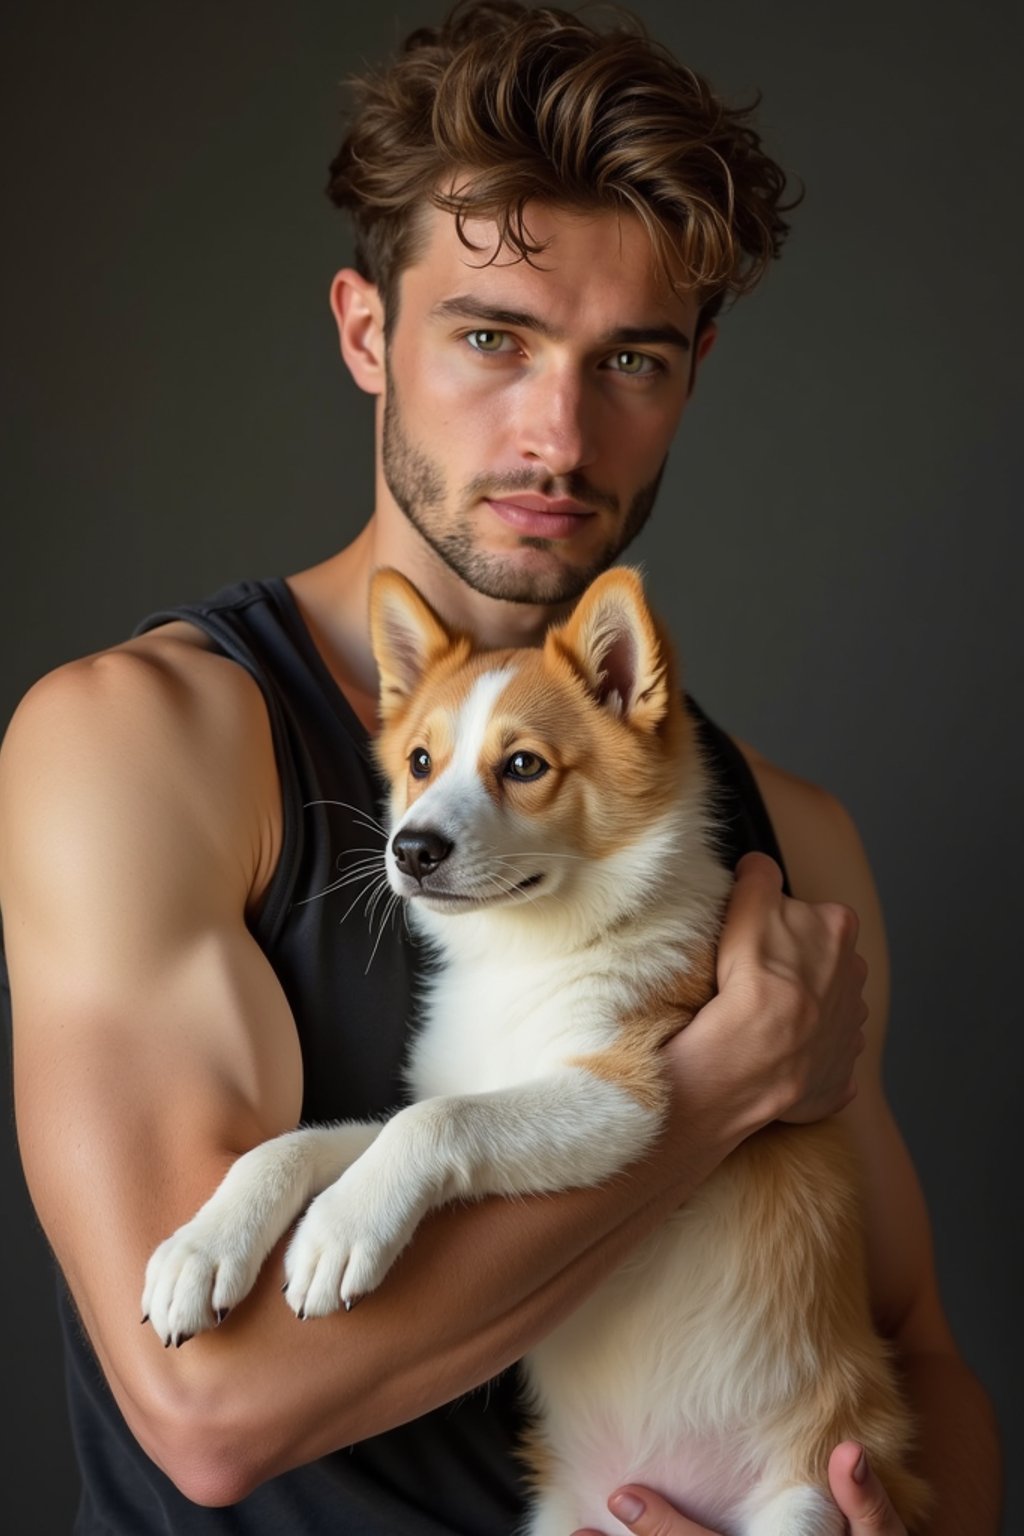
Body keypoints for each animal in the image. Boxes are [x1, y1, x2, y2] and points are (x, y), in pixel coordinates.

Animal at [144, 568, 927, 1536]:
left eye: (523, 766)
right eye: (420, 763)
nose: (411, 849)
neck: (528, 954)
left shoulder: (627, 1099)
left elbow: (437, 1125)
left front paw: (339, 1231)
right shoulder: (461, 1094)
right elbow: (306, 1142)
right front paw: (206, 1245)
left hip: (808, 1500)